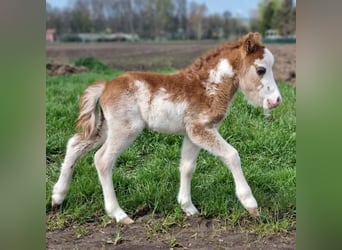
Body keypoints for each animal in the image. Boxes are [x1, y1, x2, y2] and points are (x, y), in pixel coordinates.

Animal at [50, 32, 280, 226]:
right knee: (102, 160)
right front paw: (251, 204)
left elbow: (187, 167)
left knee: (75, 145)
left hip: (106, 127)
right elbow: (232, 155)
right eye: (261, 69)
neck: (208, 86)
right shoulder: (201, 129)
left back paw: (57, 197)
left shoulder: (192, 133)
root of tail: (105, 85)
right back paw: (118, 214)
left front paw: (188, 207)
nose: (276, 100)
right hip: (125, 129)